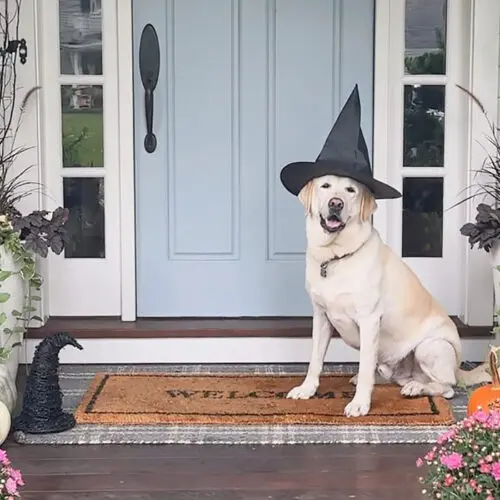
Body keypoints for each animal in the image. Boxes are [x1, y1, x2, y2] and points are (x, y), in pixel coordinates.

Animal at [288, 174, 490, 416]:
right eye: (325, 186)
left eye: (350, 190)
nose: (336, 203)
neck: (336, 255)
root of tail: (458, 369)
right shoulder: (321, 317)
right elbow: (315, 361)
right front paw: (307, 389)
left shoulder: (369, 320)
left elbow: (365, 365)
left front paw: (359, 404)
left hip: (430, 347)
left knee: (446, 387)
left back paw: (416, 388)